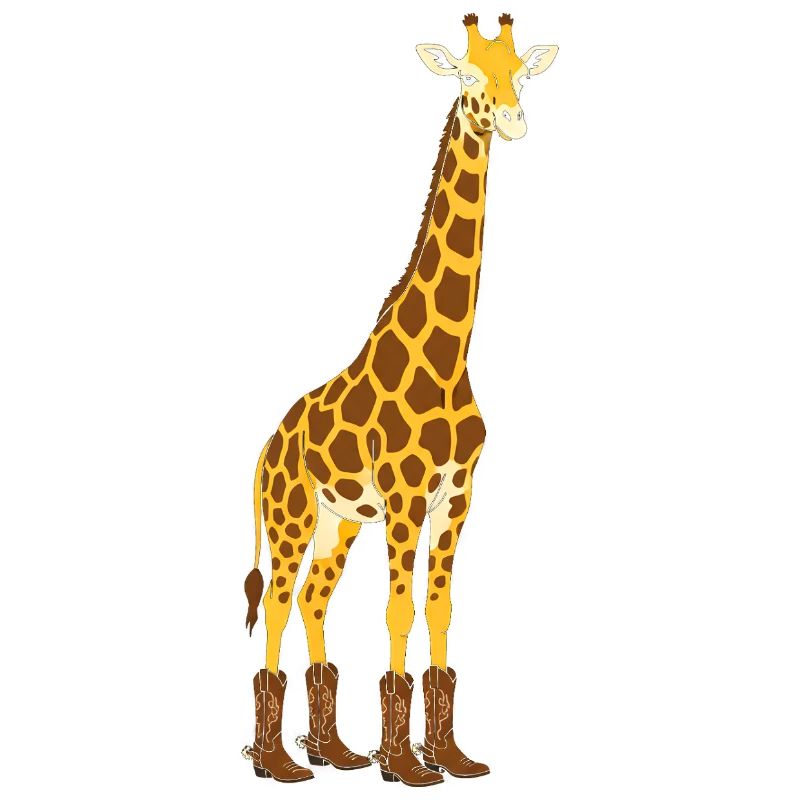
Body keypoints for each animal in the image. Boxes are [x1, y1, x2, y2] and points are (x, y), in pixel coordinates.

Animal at [241, 13, 558, 786]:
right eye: (468, 77)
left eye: (520, 75)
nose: (513, 120)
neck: (450, 357)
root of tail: (267, 444)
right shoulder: (408, 498)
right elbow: (399, 612)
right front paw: (405, 765)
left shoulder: (458, 497)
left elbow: (439, 612)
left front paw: (447, 755)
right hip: (292, 515)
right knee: (277, 603)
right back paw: (277, 761)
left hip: (339, 522)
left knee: (313, 599)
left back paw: (332, 750)